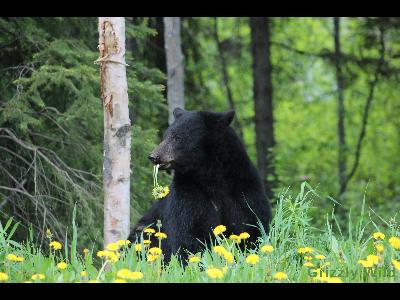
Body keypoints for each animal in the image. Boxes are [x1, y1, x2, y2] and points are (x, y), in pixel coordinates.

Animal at [128, 108, 272, 262]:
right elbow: (189, 231)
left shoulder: (242, 187)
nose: (154, 156)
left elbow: (250, 222)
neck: (211, 176)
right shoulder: (189, 191)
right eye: (165, 135)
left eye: (177, 137)